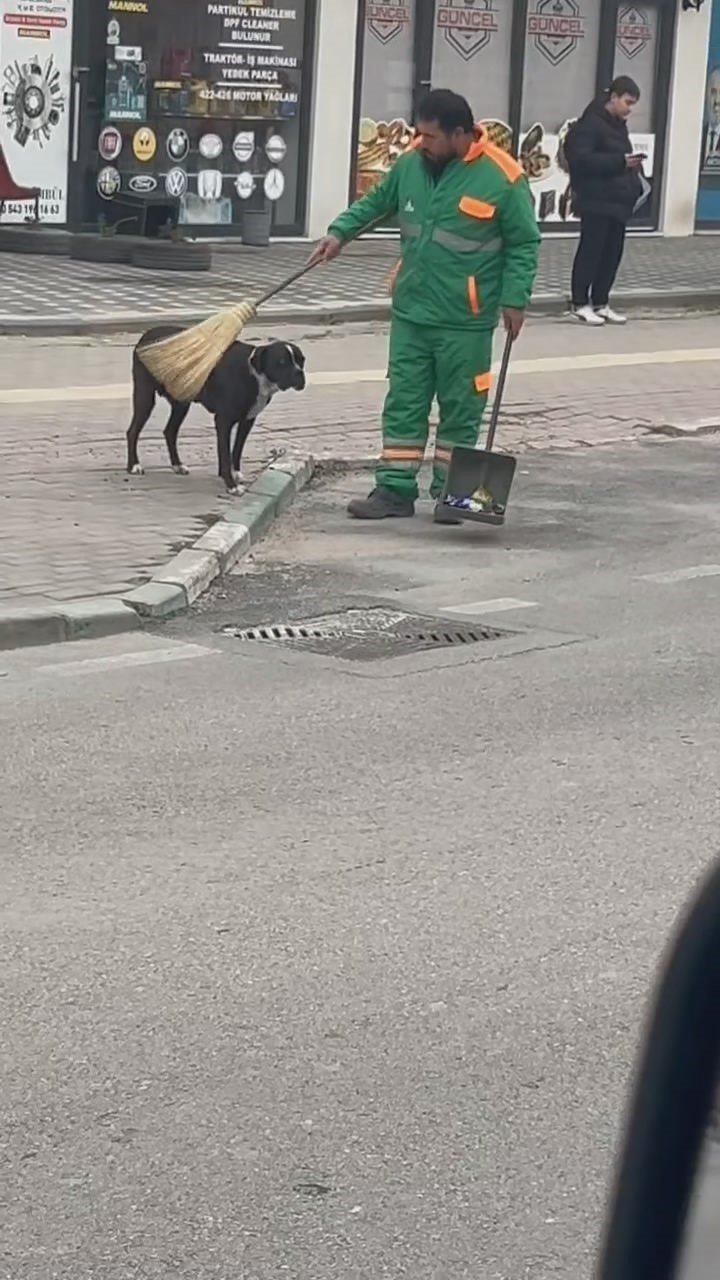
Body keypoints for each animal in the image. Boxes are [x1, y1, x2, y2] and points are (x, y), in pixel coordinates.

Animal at [126, 325, 304, 494]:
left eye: (302, 360)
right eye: (281, 362)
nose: (299, 373)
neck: (255, 374)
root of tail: (146, 335)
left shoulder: (247, 421)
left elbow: (237, 450)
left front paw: (235, 473)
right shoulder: (223, 421)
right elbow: (225, 455)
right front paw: (231, 485)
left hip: (181, 403)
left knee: (170, 432)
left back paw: (177, 465)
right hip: (145, 397)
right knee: (133, 431)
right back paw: (134, 465)